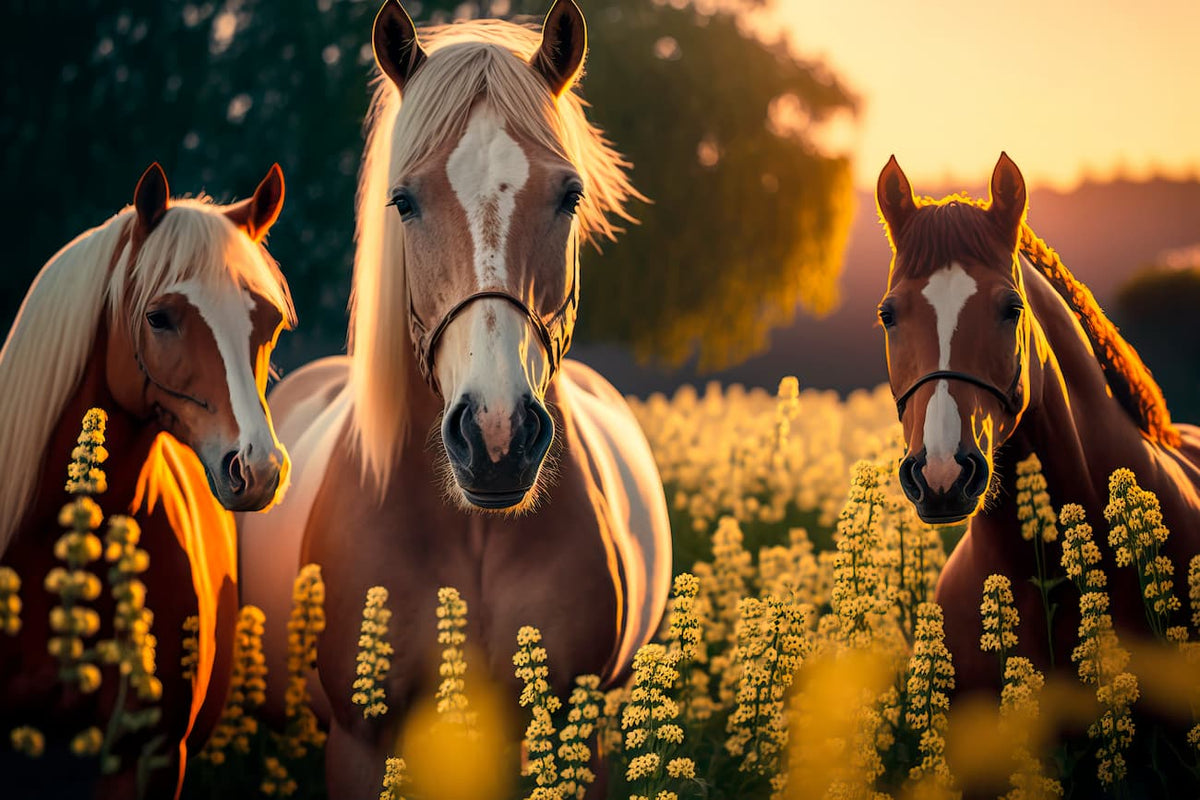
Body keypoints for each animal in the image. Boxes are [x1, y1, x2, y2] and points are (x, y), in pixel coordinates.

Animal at [237, 0, 672, 794]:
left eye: (570, 196)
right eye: (404, 201)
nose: (497, 437)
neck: (473, 532)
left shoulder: (575, 725)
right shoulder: (361, 741)